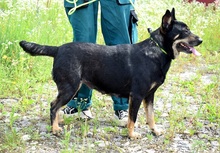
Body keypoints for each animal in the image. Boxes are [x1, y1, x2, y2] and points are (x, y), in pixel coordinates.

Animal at [19, 8, 202, 139]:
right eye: (185, 31)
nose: (201, 40)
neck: (157, 50)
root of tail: (58, 49)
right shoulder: (136, 95)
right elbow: (132, 118)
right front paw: (132, 135)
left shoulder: (149, 95)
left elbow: (151, 116)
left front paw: (155, 131)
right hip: (70, 87)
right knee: (53, 105)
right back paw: (55, 128)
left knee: (56, 106)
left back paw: (58, 122)